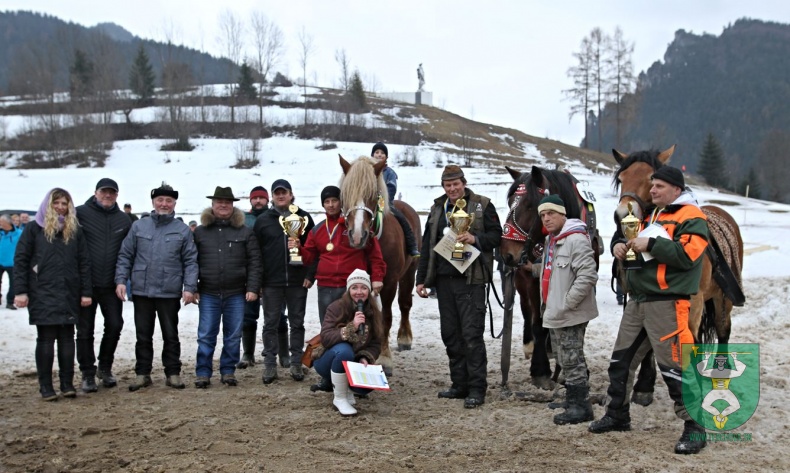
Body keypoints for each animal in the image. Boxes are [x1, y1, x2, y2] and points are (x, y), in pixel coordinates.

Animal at [340, 155, 424, 376]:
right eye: (345, 195)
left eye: (373, 195)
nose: (357, 236)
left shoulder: (389, 282)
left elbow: (386, 317)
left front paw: (385, 359)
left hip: (409, 272)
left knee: (404, 304)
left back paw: (404, 338)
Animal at [612, 144, 748, 342]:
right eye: (622, 178)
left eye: (651, 178)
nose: (622, 214)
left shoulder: (695, 302)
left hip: (723, 300)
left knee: (723, 331)